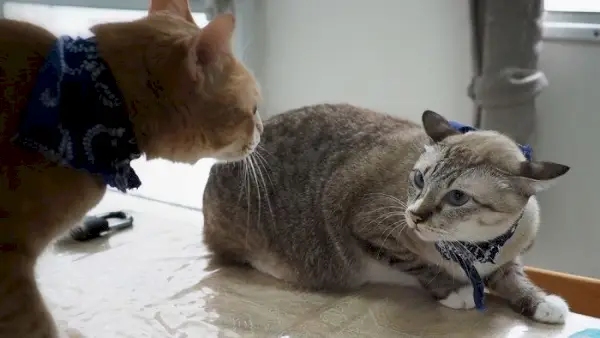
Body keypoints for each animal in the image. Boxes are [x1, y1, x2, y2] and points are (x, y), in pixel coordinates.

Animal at [204, 103, 568, 324]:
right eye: (419, 179)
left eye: (458, 197)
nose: (415, 215)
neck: (473, 248)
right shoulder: (370, 229)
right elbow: (421, 266)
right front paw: (454, 291)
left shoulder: (505, 257)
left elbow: (515, 280)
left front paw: (543, 304)